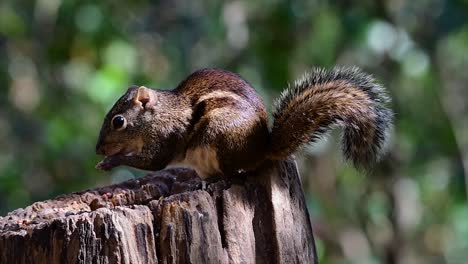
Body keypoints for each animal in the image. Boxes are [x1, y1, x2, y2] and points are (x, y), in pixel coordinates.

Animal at [97, 67, 394, 179]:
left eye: (118, 121)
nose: (98, 150)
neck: (159, 115)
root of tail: (262, 150)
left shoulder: (166, 138)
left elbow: (153, 163)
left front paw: (111, 162)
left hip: (220, 135)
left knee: (234, 174)